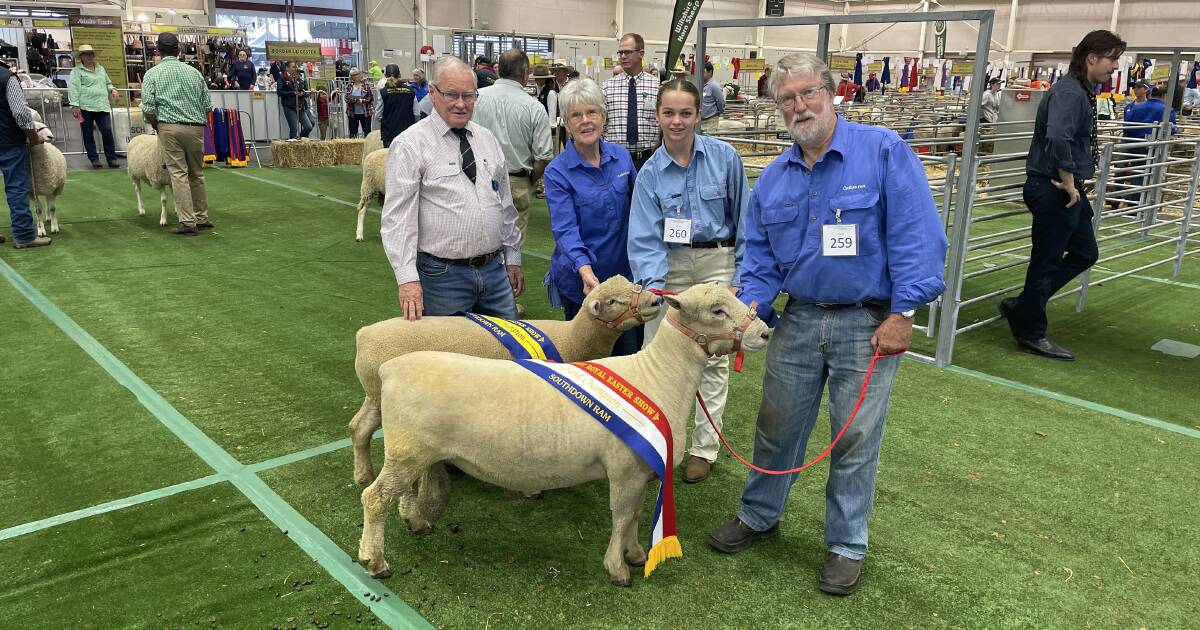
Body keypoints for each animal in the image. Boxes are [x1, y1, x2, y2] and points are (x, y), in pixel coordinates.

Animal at [348, 272, 667, 484]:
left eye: (634, 284)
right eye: (612, 301)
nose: (654, 301)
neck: (573, 338)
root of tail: (363, 334)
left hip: (374, 393)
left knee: (358, 427)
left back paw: (363, 474)